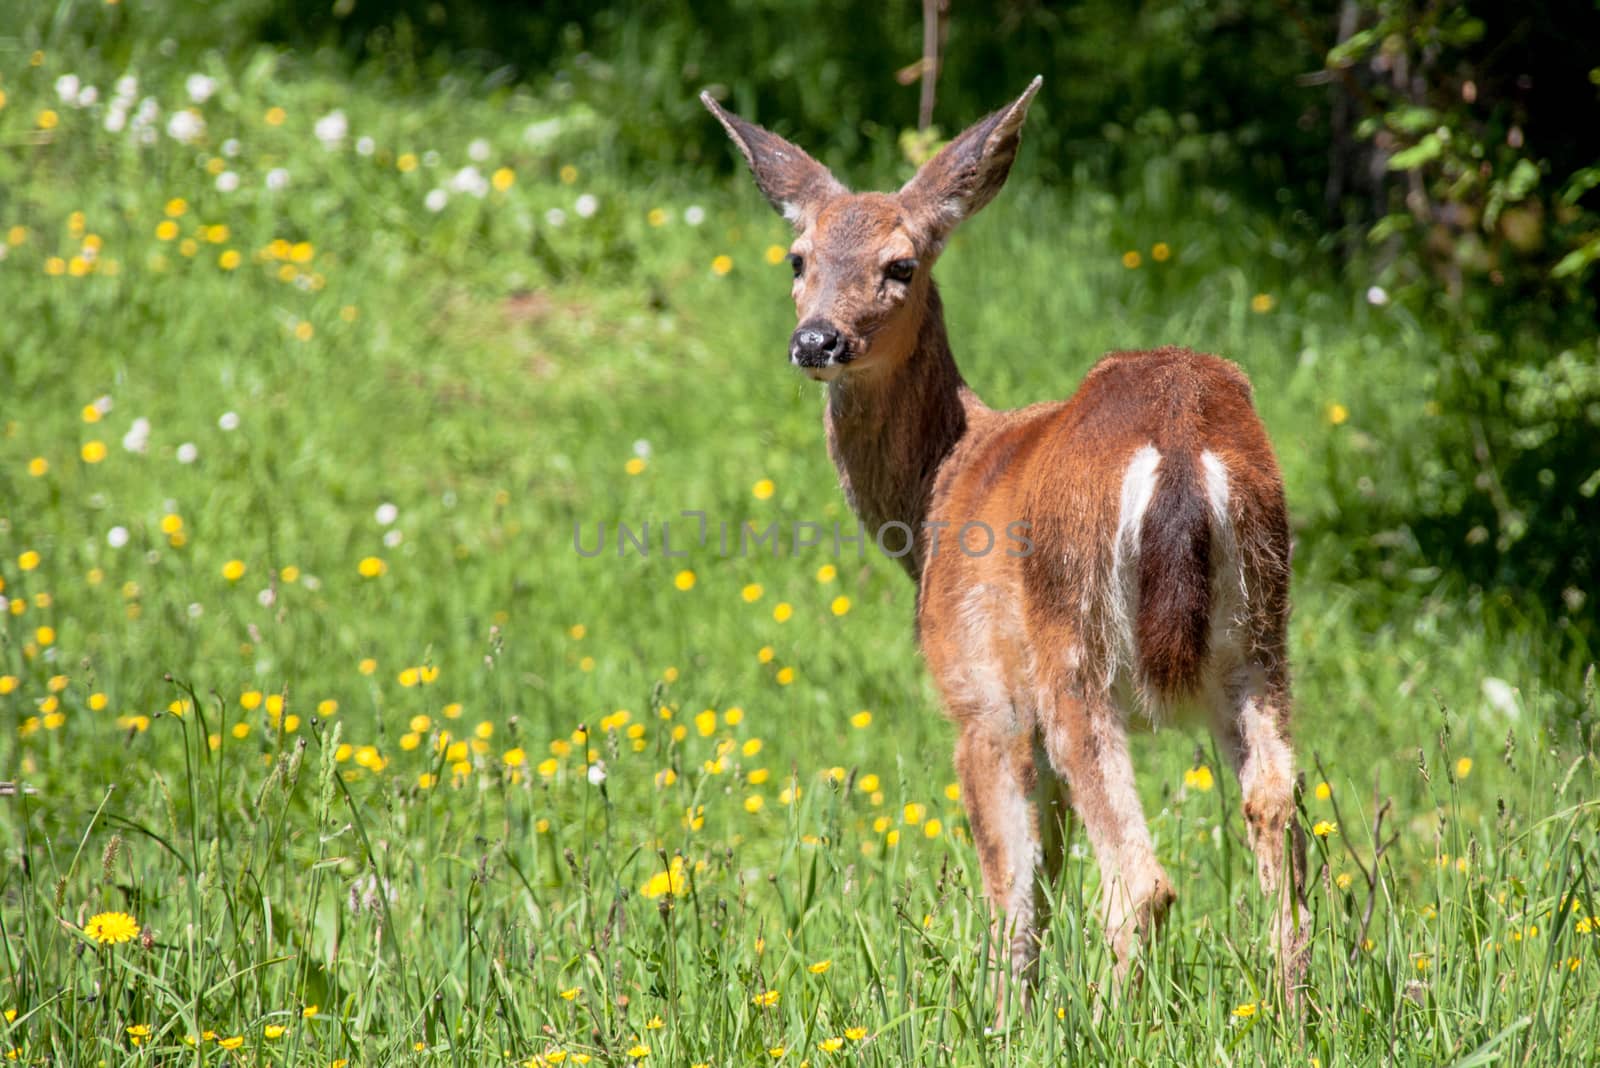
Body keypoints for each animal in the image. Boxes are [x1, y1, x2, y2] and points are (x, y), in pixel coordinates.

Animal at [707, 77, 1305, 1016]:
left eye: (901, 265)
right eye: (797, 258)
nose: (817, 341)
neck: (940, 489)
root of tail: (1181, 440)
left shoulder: (982, 697)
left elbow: (1011, 888)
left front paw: (1003, 1021)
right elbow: (1047, 871)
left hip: (1073, 652)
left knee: (1142, 881)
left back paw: (1106, 1023)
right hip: (1261, 634)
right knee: (1278, 816)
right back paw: (1296, 1017)